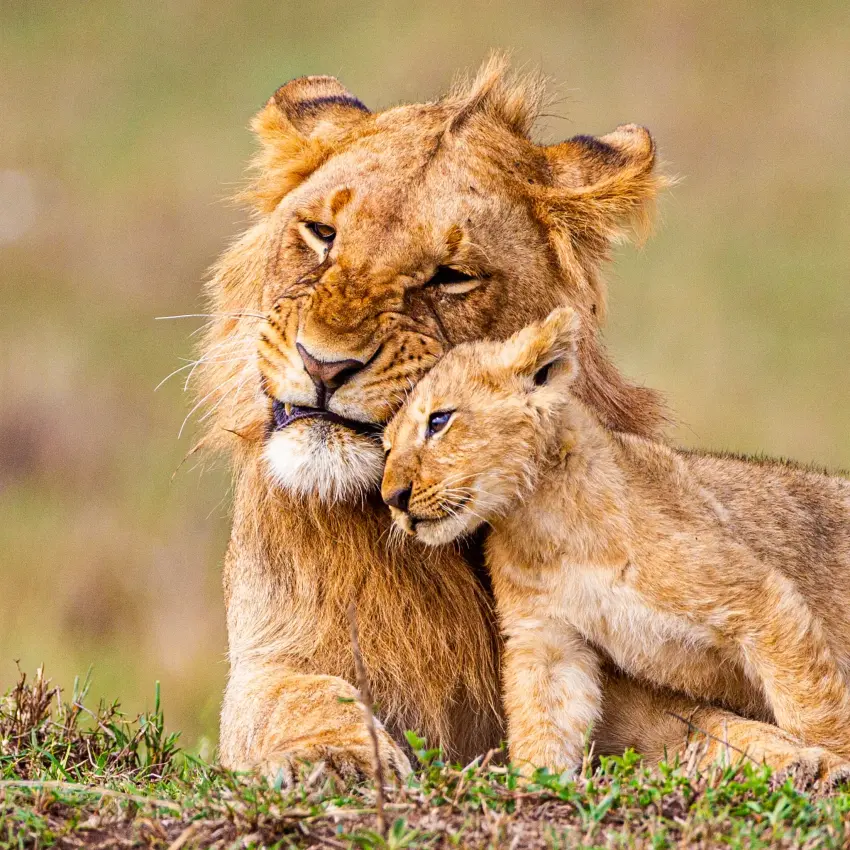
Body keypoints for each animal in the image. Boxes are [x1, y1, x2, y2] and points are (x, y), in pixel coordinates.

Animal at [382, 306, 850, 777]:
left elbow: (809, 701)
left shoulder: (759, 598)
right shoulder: (549, 640)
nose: (392, 498)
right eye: (385, 448)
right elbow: (542, 721)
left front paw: (834, 764)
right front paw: (536, 781)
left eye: (438, 421)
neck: (542, 523)